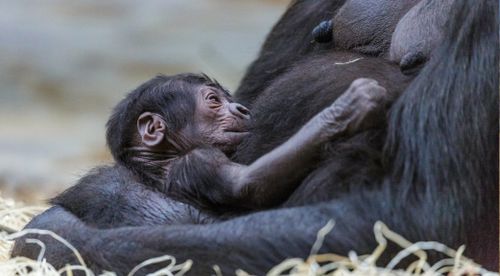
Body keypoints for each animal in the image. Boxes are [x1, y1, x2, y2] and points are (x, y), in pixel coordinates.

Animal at [52, 74, 386, 226]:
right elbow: (248, 184)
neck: (161, 161)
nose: (242, 108)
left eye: (228, 99)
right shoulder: (201, 160)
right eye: (214, 100)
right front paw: (346, 109)